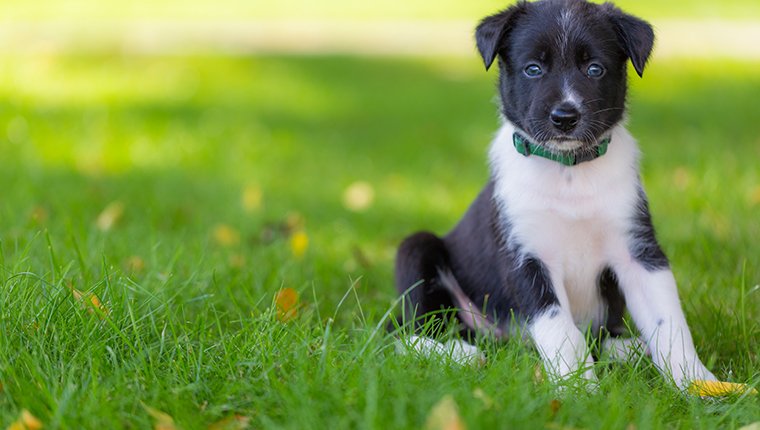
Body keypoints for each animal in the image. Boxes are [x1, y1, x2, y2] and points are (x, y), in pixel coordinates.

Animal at [392, 0, 720, 390]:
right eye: (533, 69)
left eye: (594, 69)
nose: (565, 117)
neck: (569, 172)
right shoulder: (526, 256)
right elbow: (559, 329)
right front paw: (579, 387)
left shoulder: (638, 250)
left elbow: (668, 322)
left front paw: (697, 382)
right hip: (416, 250)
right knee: (407, 333)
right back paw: (461, 355)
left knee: (602, 338)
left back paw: (630, 350)